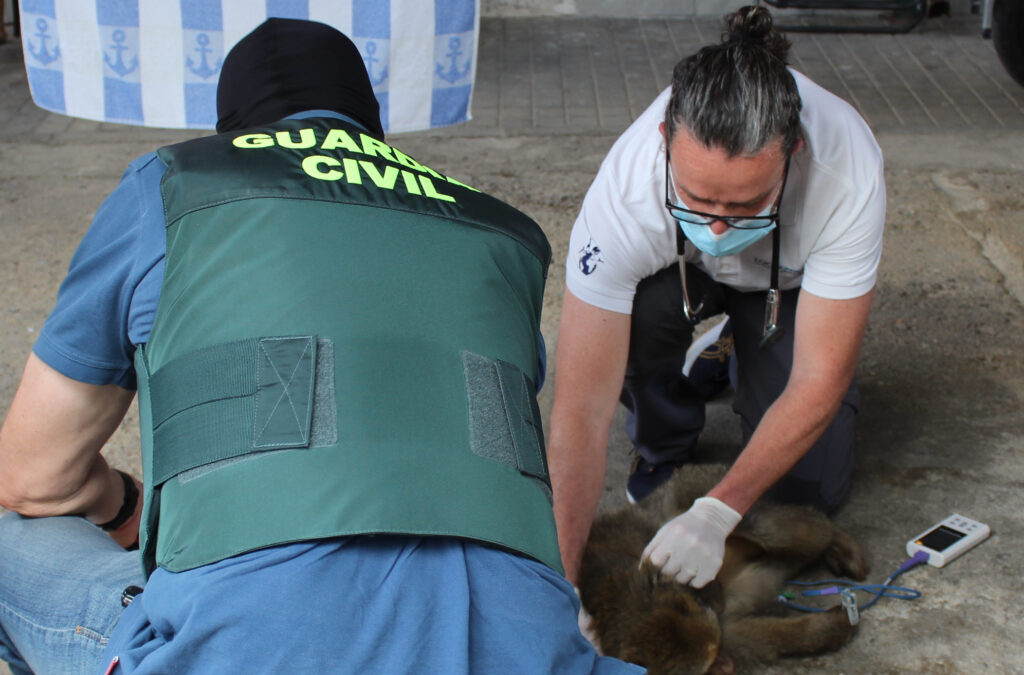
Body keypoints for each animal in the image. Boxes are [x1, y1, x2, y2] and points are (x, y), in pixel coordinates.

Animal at [578, 464, 870, 675]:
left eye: (713, 658)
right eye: (707, 667)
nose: (725, 665)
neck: (618, 600)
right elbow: (757, 635)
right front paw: (828, 628)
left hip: (713, 488)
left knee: (781, 528)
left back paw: (838, 541)